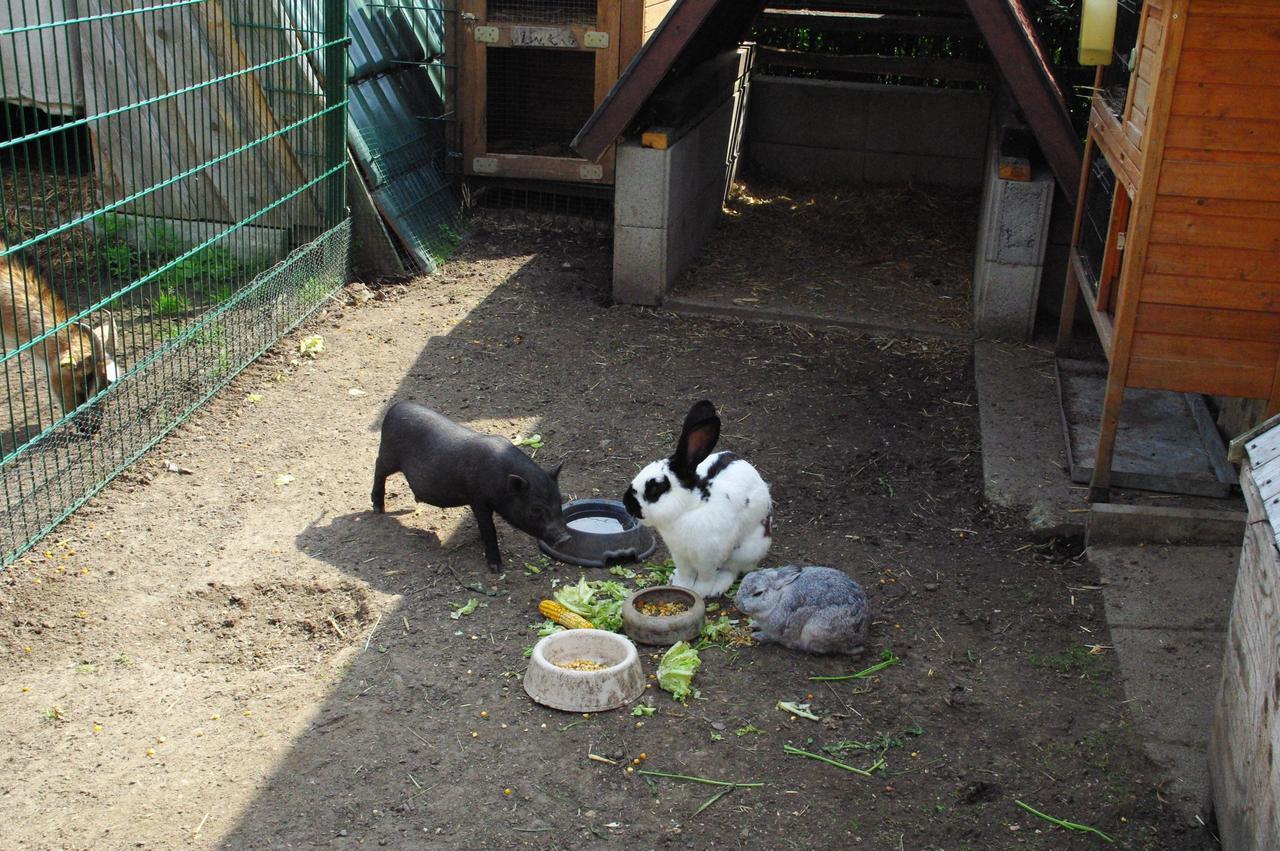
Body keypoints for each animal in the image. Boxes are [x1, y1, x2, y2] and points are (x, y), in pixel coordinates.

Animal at [371, 399, 570, 570]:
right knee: (378, 468)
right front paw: (496, 568)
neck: (500, 478)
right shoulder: (478, 499)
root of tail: (396, 407)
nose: (565, 538)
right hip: (388, 456)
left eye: (560, 500)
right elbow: (488, 528)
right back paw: (378, 509)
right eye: (535, 510)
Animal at [619, 399, 768, 593]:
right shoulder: (679, 555)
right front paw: (680, 585)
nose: (627, 504)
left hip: (747, 550)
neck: (688, 510)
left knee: (732, 569)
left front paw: (699, 592)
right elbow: (685, 574)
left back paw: (719, 586)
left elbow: (705, 577)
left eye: (655, 488)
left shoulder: (708, 558)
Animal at [737, 568, 875, 652]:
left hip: (815, 630)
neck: (778, 598)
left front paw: (757, 636)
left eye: (758, 593)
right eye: (746, 577)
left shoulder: (777, 628)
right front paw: (753, 624)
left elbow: (772, 636)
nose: (738, 604)